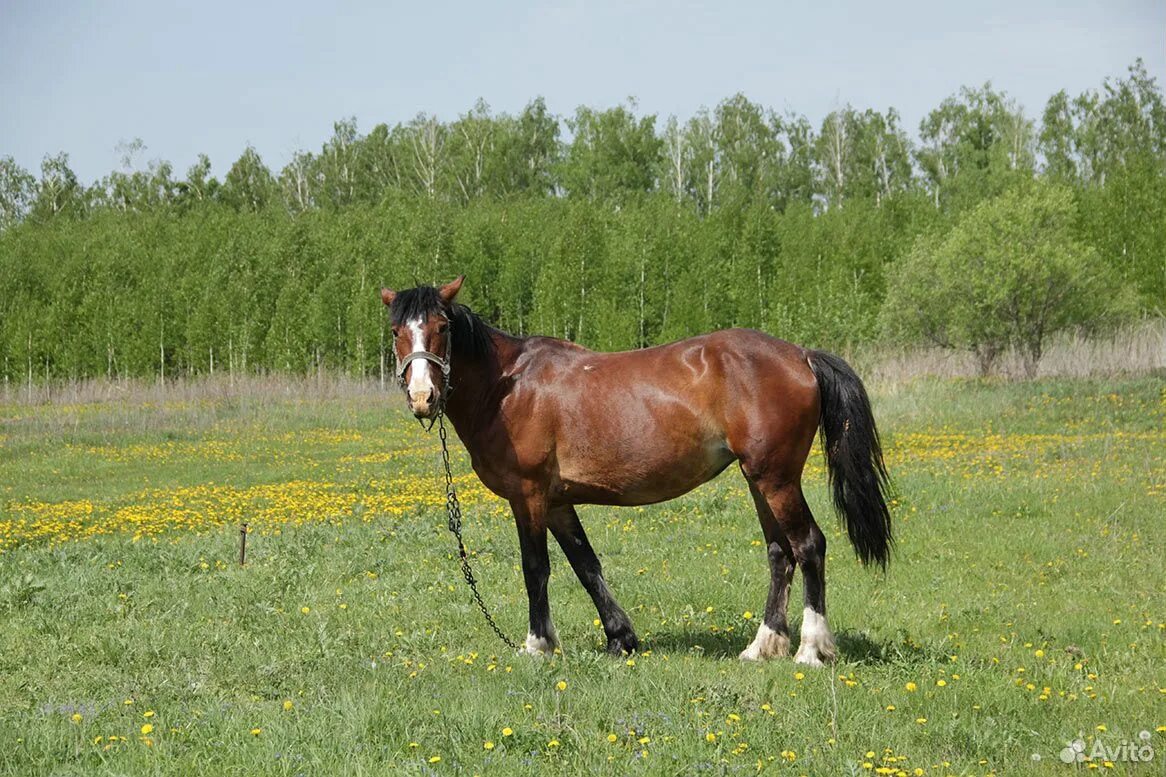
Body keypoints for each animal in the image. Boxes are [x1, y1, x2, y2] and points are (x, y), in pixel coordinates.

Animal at [382, 275, 890, 662]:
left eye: (442, 327)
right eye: (396, 332)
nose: (423, 397)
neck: (508, 387)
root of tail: (801, 355)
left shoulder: (528, 496)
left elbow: (535, 568)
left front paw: (538, 645)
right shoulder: (558, 501)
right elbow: (586, 565)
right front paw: (620, 638)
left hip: (777, 478)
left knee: (809, 546)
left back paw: (811, 650)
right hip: (758, 479)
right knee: (779, 553)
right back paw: (761, 647)